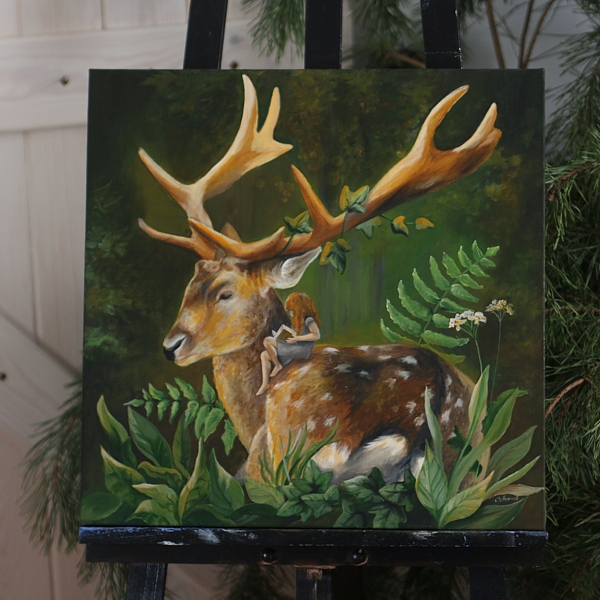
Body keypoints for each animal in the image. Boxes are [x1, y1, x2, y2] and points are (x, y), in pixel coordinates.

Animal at [137, 75, 501, 484]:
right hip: (477, 460)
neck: (249, 418)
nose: (171, 346)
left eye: (225, 294)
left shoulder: (258, 462)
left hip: (291, 449)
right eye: (190, 285)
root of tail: (434, 405)